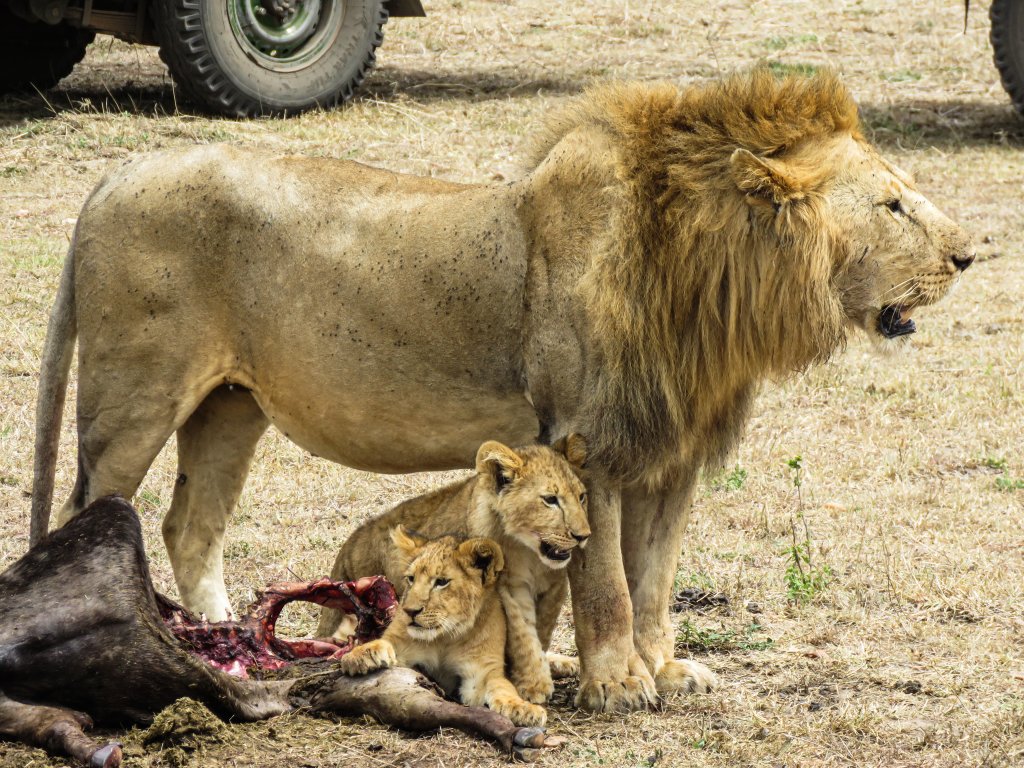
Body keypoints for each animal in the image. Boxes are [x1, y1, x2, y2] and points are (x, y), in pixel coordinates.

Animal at [32, 69, 970, 712]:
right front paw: (617, 686)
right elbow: (607, 585)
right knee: (91, 516)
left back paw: (230, 646)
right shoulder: (591, 442)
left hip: (231, 406)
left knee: (191, 524)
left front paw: (667, 669)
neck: (707, 285)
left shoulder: (671, 458)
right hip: (133, 398)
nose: (968, 255)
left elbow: (657, 580)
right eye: (892, 206)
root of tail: (111, 179)